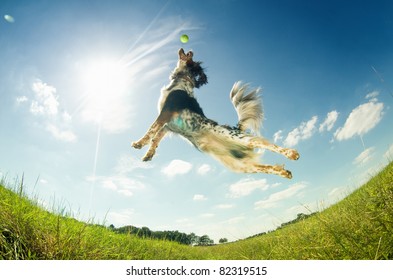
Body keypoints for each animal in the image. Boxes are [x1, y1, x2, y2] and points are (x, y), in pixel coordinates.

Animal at [130, 48, 298, 178]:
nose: (189, 49)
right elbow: (156, 138)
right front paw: (148, 154)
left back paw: (291, 153)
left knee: (263, 142)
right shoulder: (169, 125)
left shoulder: (166, 113)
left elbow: (151, 130)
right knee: (264, 168)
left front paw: (138, 143)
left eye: (191, 57)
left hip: (237, 138)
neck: (182, 83)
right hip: (239, 165)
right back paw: (285, 173)